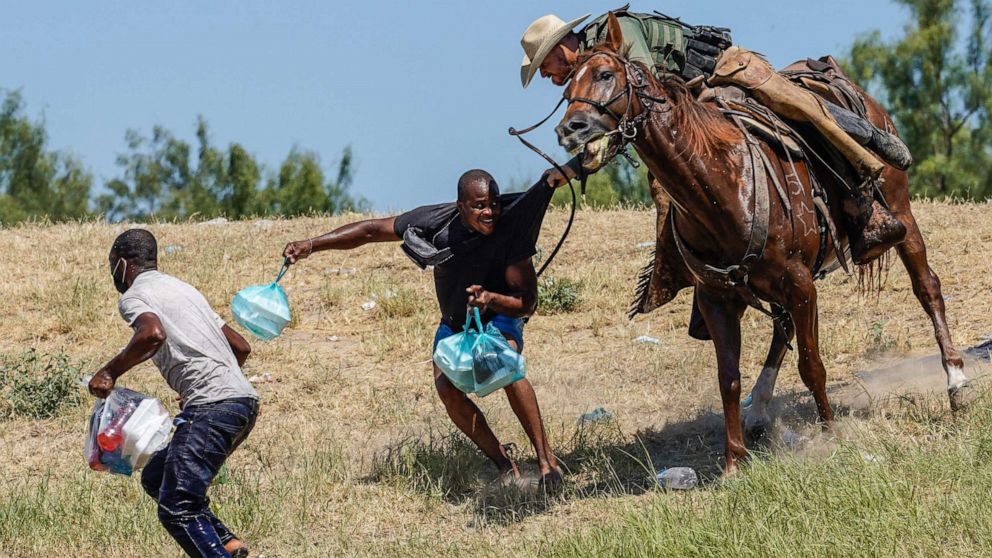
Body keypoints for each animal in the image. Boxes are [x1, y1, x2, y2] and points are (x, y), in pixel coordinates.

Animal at [556, 14, 972, 476]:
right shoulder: (718, 297)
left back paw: (956, 382)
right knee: (781, 328)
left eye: (605, 75)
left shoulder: (800, 284)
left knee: (927, 287)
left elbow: (811, 365)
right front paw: (733, 462)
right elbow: (729, 378)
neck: (720, 183)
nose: (569, 129)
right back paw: (758, 410)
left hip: (901, 213)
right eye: (566, 91)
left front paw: (830, 435)